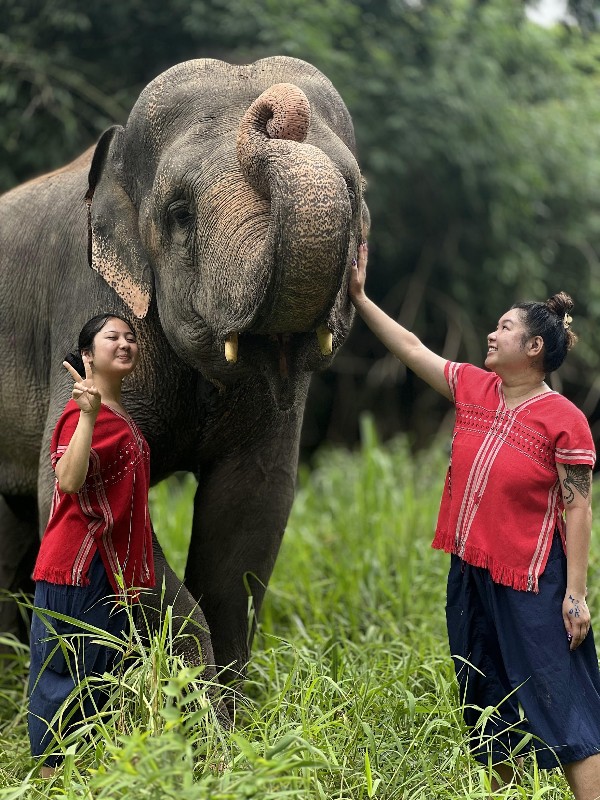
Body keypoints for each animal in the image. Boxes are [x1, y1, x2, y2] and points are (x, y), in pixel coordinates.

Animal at [0, 56, 368, 703]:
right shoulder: (87, 304)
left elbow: (252, 506)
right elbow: (83, 502)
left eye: (355, 194)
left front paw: (228, 711)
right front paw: (194, 711)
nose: (275, 111)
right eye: (179, 213)